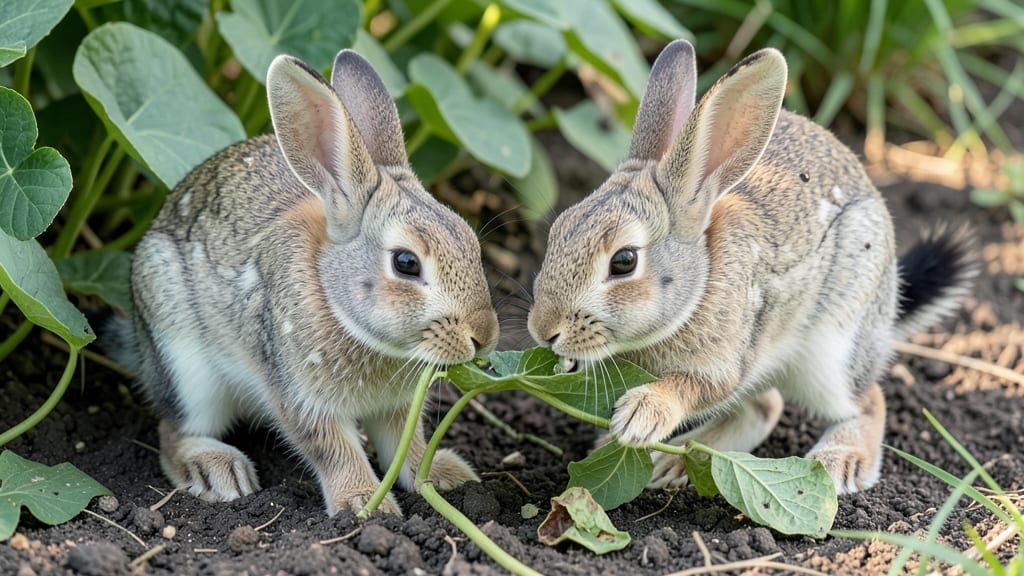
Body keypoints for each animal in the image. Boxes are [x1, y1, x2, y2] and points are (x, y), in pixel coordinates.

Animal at [113, 50, 499, 516]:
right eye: (406, 263)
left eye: (470, 241)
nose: (483, 336)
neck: (333, 295)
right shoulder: (299, 395)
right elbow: (333, 450)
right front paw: (362, 504)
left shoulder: (397, 407)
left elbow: (406, 446)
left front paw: (442, 476)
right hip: (184, 361)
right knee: (173, 431)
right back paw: (218, 471)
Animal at [527, 39, 975, 495]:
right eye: (558, 231)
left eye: (624, 261)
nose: (543, 331)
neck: (700, 282)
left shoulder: (730, 358)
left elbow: (694, 387)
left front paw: (641, 416)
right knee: (765, 405)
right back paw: (672, 462)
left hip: (833, 347)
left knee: (866, 401)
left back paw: (840, 461)